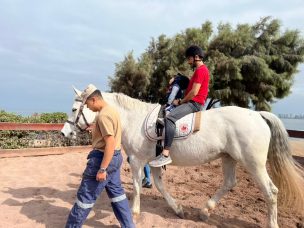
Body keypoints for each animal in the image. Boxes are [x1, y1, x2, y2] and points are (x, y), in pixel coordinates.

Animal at [61, 87, 304, 228]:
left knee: (271, 192)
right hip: (229, 158)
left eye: (73, 109)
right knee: (229, 182)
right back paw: (205, 211)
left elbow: (138, 187)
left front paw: (135, 212)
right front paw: (177, 209)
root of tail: (257, 115)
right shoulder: (154, 161)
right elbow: (159, 185)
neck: (134, 118)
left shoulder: (138, 161)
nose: (64, 133)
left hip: (253, 164)